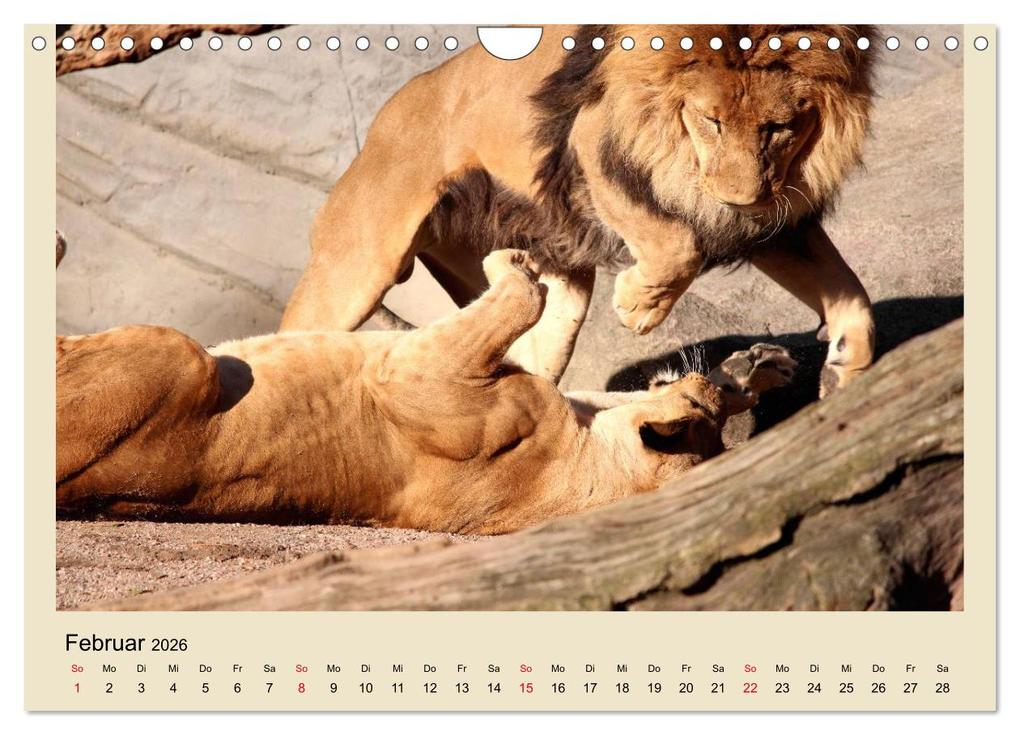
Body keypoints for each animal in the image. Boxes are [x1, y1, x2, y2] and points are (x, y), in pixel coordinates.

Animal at [57, 250, 795, 535]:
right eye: (704, 412)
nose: (695, 380)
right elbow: (550, 323)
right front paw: (757, 367)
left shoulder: (414, 376)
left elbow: (522, 297)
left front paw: (512, 262)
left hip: (179, 355)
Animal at [280, 24, 875, 398]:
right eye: (712, 120)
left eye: (779, 127)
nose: (740, 197)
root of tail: (381, 122)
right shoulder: (592, 145)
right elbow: (676, 244)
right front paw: (638, 306)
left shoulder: (773, 220)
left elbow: (851, 294)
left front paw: (845, 374)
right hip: (357, 268)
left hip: (550, 284)